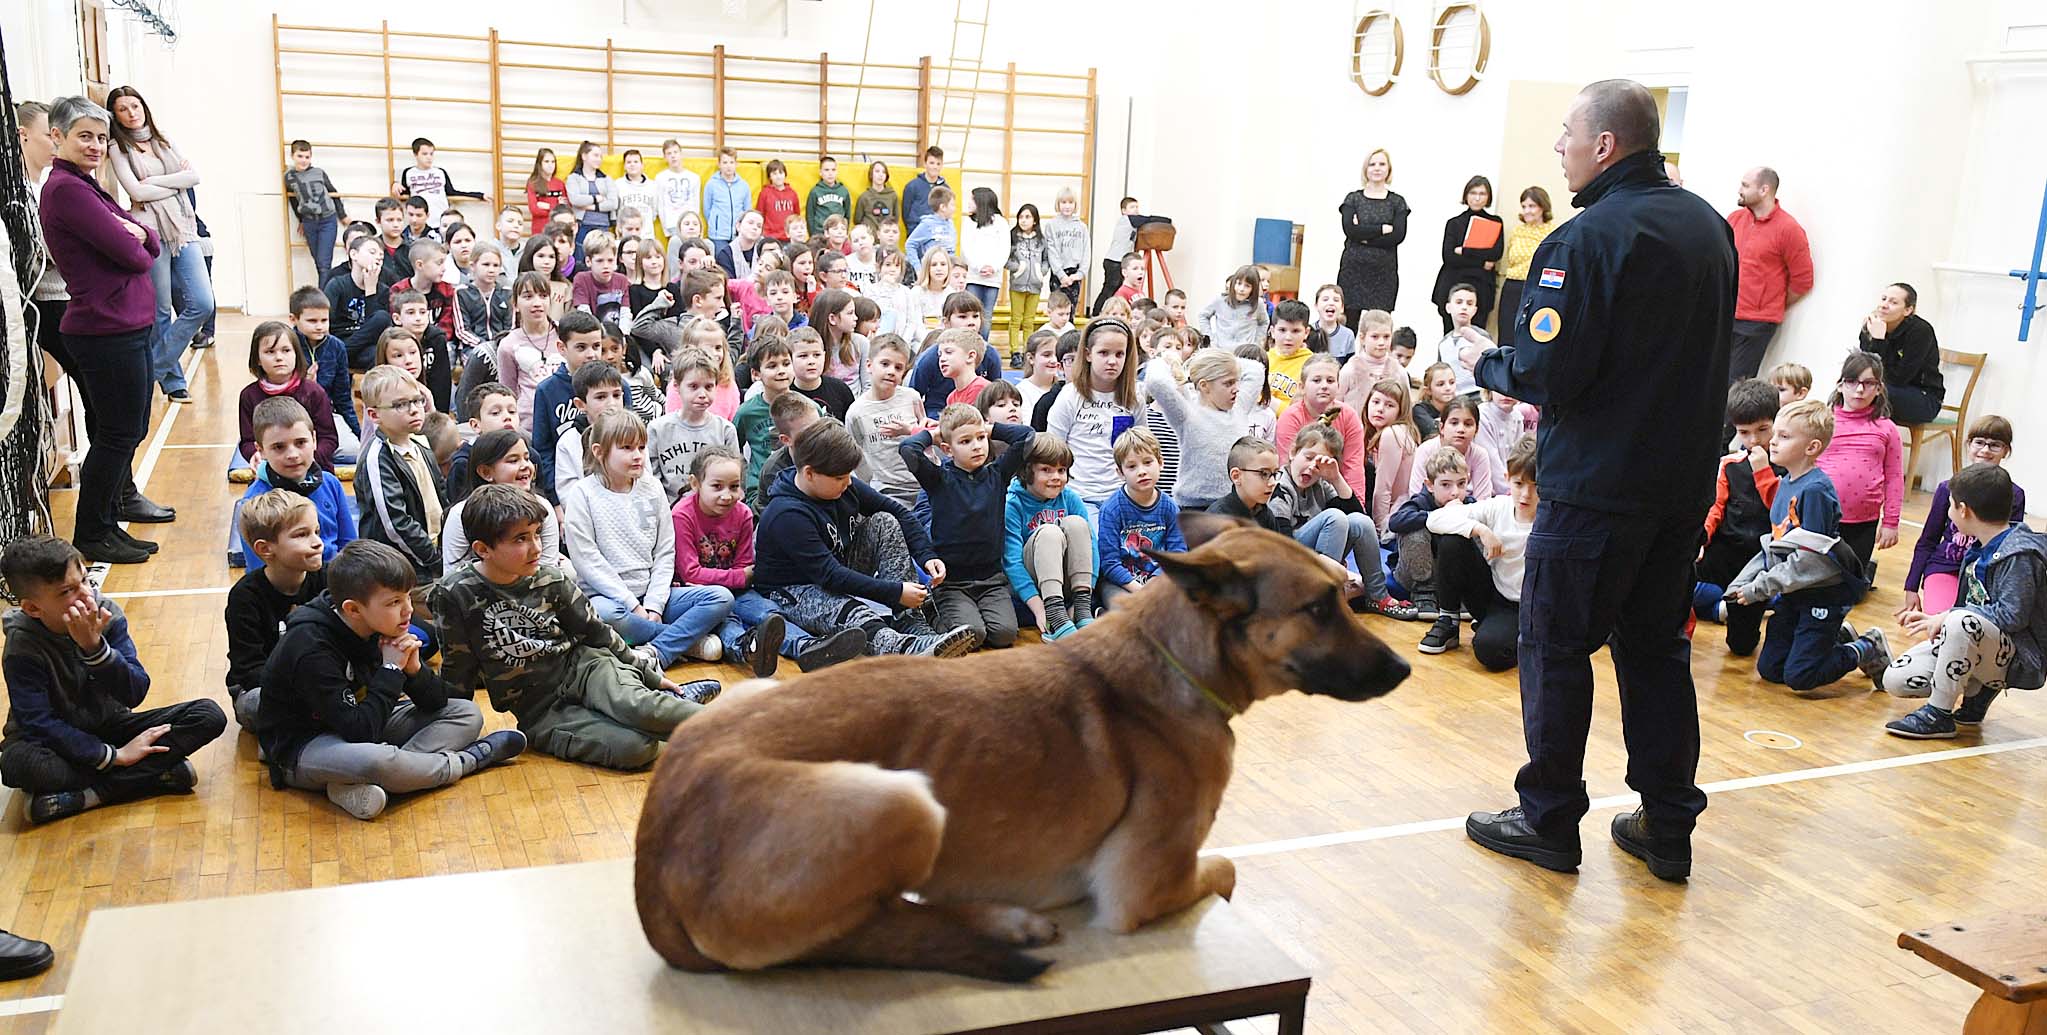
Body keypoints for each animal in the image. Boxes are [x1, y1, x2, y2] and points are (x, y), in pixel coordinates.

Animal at [630, 513, 1416, 981]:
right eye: (1319, 607)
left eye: (1339, 596)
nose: (1403, 672)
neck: (1169, 655)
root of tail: (653, 851)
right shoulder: (1148, 888)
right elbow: (1225, 870)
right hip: (904, 800)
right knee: (859, 937)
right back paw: (996, 927)